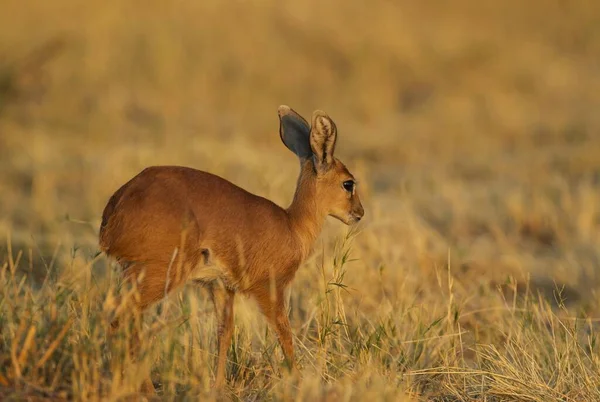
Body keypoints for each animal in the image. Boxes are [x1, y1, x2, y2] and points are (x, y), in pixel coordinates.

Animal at [97, 105, 366, 392]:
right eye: (348, 183)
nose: (359, 213)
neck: (291, 225)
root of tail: (117, 204)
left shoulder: (221, 287)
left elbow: (224, 333)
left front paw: (217, 387)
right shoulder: (269, 288)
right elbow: (284, 333)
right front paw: (300, 383)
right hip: (158, 276)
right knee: (120, 319)